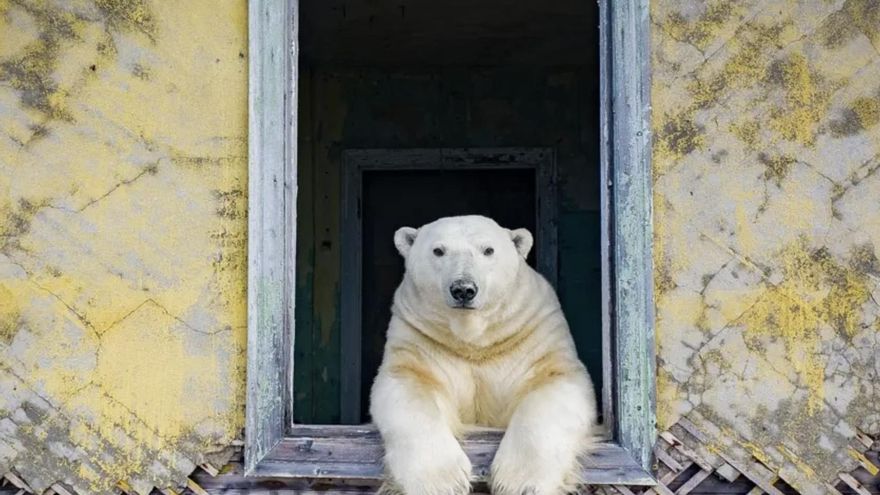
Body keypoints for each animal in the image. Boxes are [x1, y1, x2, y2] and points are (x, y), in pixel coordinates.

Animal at [370, 215, 598, 495]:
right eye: (438, 250)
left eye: (488, 250)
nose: (463, 289)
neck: (474, 340)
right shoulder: (419, 338)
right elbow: (408, 386)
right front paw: (442, 482)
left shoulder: (533, 333)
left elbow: (553, 383)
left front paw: (519, 482)